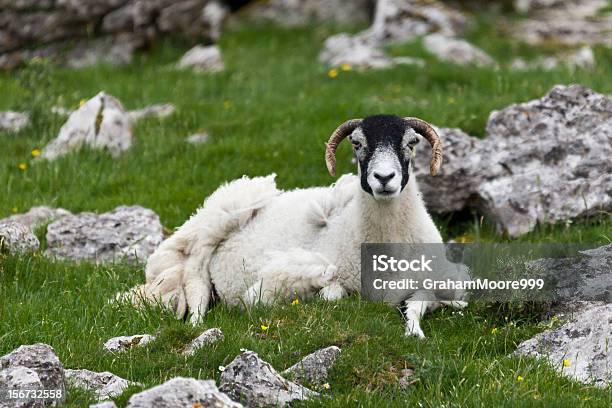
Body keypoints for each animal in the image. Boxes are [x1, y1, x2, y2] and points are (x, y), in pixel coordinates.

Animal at [126, 114, 466, 338]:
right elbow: (331, 294)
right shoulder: (306, 270)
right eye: (358, 144)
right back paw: (199, 321)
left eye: (411, 143)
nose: (384, 178)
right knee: (195, 284)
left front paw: (414, 330)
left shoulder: (438, 282)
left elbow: (427, 302)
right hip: (209, 234)